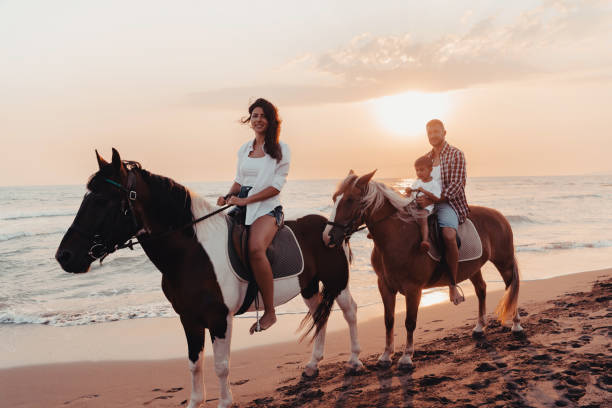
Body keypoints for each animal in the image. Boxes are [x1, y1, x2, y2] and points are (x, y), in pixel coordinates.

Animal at [56, 150, 364, 408]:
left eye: (101, 200)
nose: (64, 256)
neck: (191, 254)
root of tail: (331, 228)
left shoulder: (219, 319)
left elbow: (221, 365)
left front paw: (225, 402)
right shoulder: (189, 319)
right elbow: (195, 364)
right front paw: (195, 402)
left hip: (337, 282)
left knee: (349, 311)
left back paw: (354, 361)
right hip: (309, 286)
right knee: (320, 316)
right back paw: (313, 366)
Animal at [320, 169, 520, 370]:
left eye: (350, 200)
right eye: (334, 198)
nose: (328, 237)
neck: (398, 236)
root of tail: (500, 216)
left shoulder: (413, 289)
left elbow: (410, 321)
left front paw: (406, 357)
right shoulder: (384, 286)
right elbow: (389, 320)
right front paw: (386, 355)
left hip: (504, 262)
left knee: (511, 287)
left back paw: (516, 325)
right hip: (473, 268)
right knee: (481, 289)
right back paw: (479, 327)